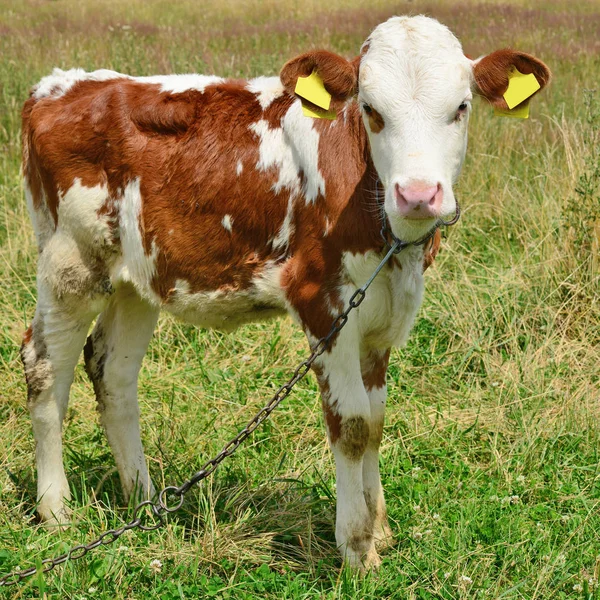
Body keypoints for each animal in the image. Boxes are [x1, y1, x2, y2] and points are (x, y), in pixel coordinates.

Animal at [21, 15, 548, 568]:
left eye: (461, 107)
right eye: (370, 109)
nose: (419, 194)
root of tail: (60, 86)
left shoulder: (380, 318)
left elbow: (376, 420)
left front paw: (379, 528)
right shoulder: (323, 304)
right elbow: (352, 425)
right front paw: (358, 550)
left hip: (136, 278)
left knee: (113, 371)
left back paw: (144, 501)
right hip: (70, 263)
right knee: (44, 367)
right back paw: (56, 510)